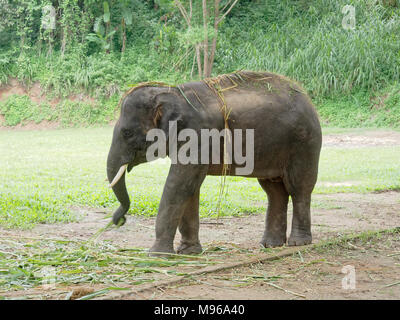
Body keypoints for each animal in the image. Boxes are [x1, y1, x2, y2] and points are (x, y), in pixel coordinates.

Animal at [106, 70, 322, 255]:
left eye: (127, 133)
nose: (119, 220)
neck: (173, 92)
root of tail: (307, 97)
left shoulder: (199, 135)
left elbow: (178, 184)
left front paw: (157, 255)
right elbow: (190, 188)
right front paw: (188, 252)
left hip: (304, 145)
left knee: (299, 188)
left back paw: (298, 242)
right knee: (274, 191)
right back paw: (270, 245)